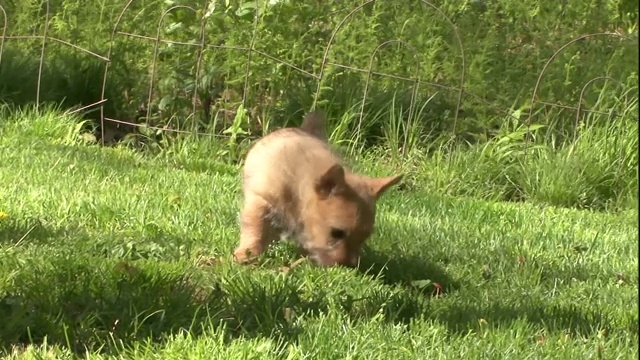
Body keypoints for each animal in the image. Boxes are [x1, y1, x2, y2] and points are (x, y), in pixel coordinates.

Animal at [232, 110, 402, 268]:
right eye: (337, 233)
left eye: (364, 237)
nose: (348, 266)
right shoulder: (261, 202)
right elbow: (255, 229)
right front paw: (246, 254)